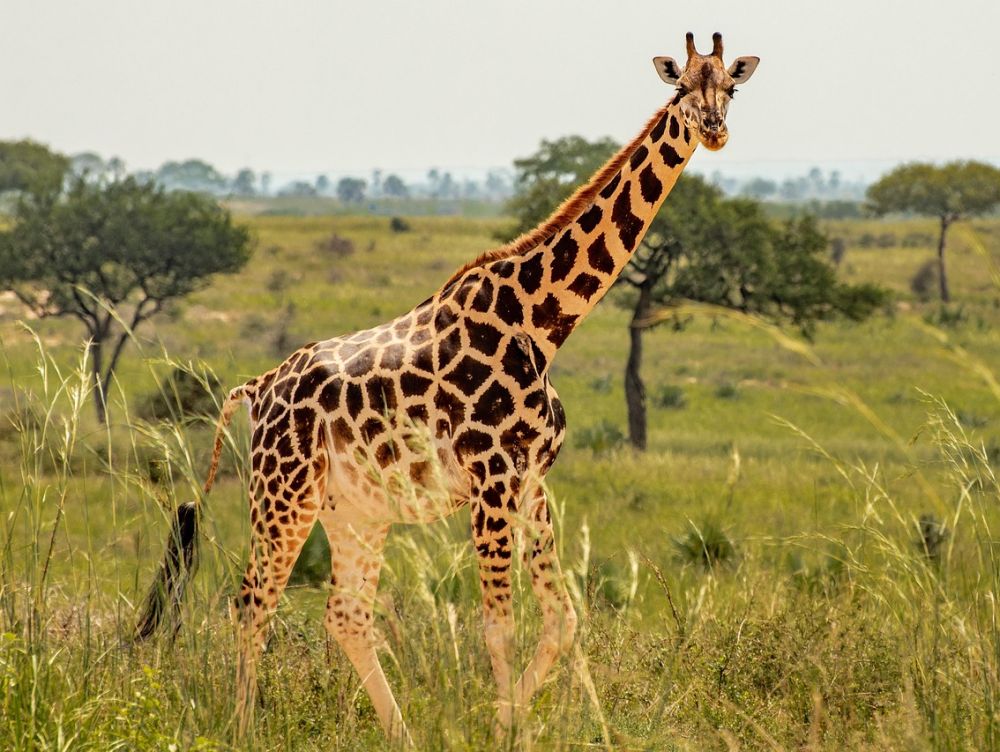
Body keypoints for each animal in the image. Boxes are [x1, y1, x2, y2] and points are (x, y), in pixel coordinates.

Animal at [135, 31, 759, 744]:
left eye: (730, 88)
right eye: (680, 89)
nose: (713, 130)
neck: (544, 322)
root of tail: (257, 387)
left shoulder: (530, 480)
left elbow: (564, 619)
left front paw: (565, 727)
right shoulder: (492, 476)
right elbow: (500, 625)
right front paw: (506, 731)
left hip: (354, 511)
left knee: (345, 615)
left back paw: (401, 735)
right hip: (283, 493)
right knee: (251, 603)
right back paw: (244, 730)